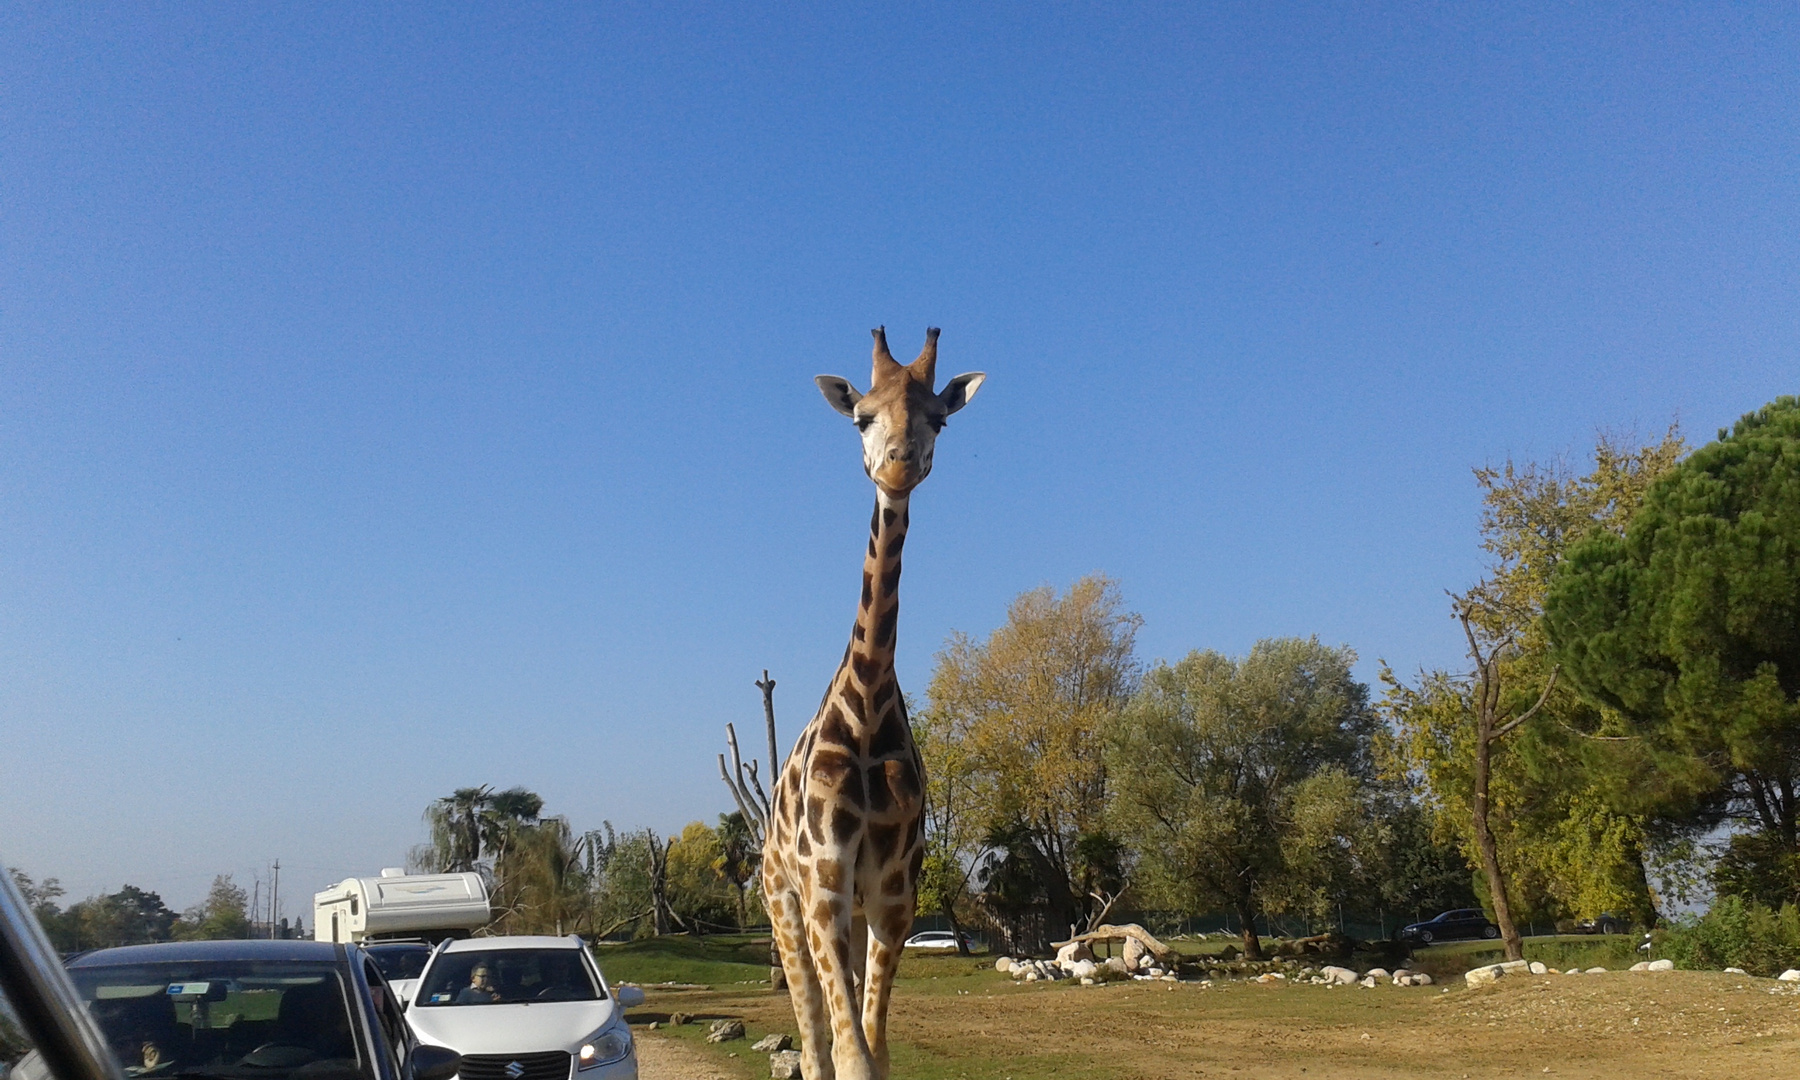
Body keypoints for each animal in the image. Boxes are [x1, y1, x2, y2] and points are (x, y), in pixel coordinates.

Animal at [759, 324, 986, 1072]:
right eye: (862, 416)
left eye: (937, 418)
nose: (898, 465)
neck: (867, 703)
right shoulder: (824, 883)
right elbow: (846, 1055)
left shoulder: (891, 894)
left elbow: (876, 1051)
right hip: (783, 903)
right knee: (812, 1046)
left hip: (852, 912)